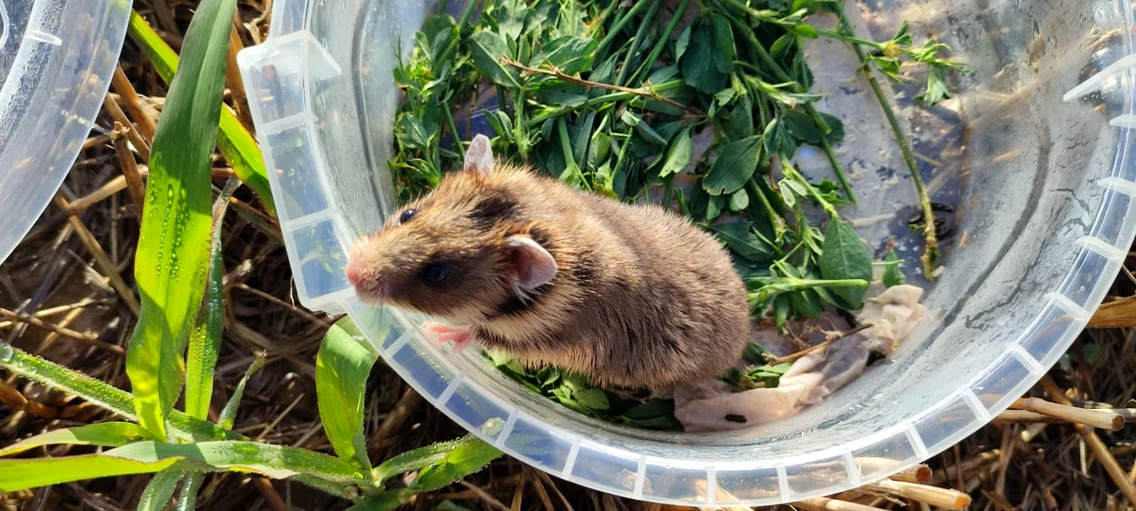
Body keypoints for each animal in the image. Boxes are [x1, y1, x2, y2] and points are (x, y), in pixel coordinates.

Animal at [346, 134, 751, 391]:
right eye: (407, 214)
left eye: (436, 273)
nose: (350, 272)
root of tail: (746, 323)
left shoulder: (536, 340)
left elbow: (477, 333)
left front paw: (437, 334)